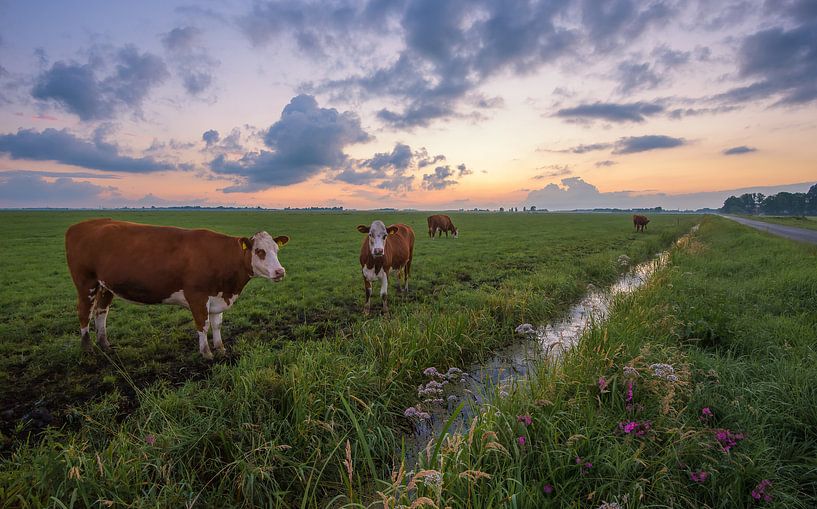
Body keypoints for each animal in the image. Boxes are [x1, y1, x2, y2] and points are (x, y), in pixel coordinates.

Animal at [66, 218, 290, 358]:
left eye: (276, 249)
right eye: (259, 251)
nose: (280, 271)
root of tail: (79, 226)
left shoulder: (217, 296)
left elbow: (217, 324)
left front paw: (221, 348)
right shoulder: (197, 296)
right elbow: (203, 325)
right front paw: (206, 353)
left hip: (105, 286)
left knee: (101, 312)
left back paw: (105, 344)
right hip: (86, 282)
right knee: (84, 312)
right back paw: (87, 347)